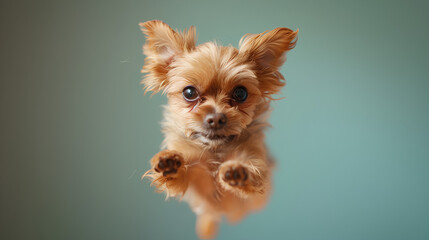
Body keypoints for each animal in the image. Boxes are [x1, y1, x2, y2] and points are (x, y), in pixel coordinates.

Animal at [140, 20, 298, 238]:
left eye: (241, 93)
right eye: (189, 92)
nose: (215, 118)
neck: (215, 151)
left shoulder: (258, 175)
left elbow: (254, 171)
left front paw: (238, 172)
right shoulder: (196, 184)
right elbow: (189, 171)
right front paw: (170, 164)